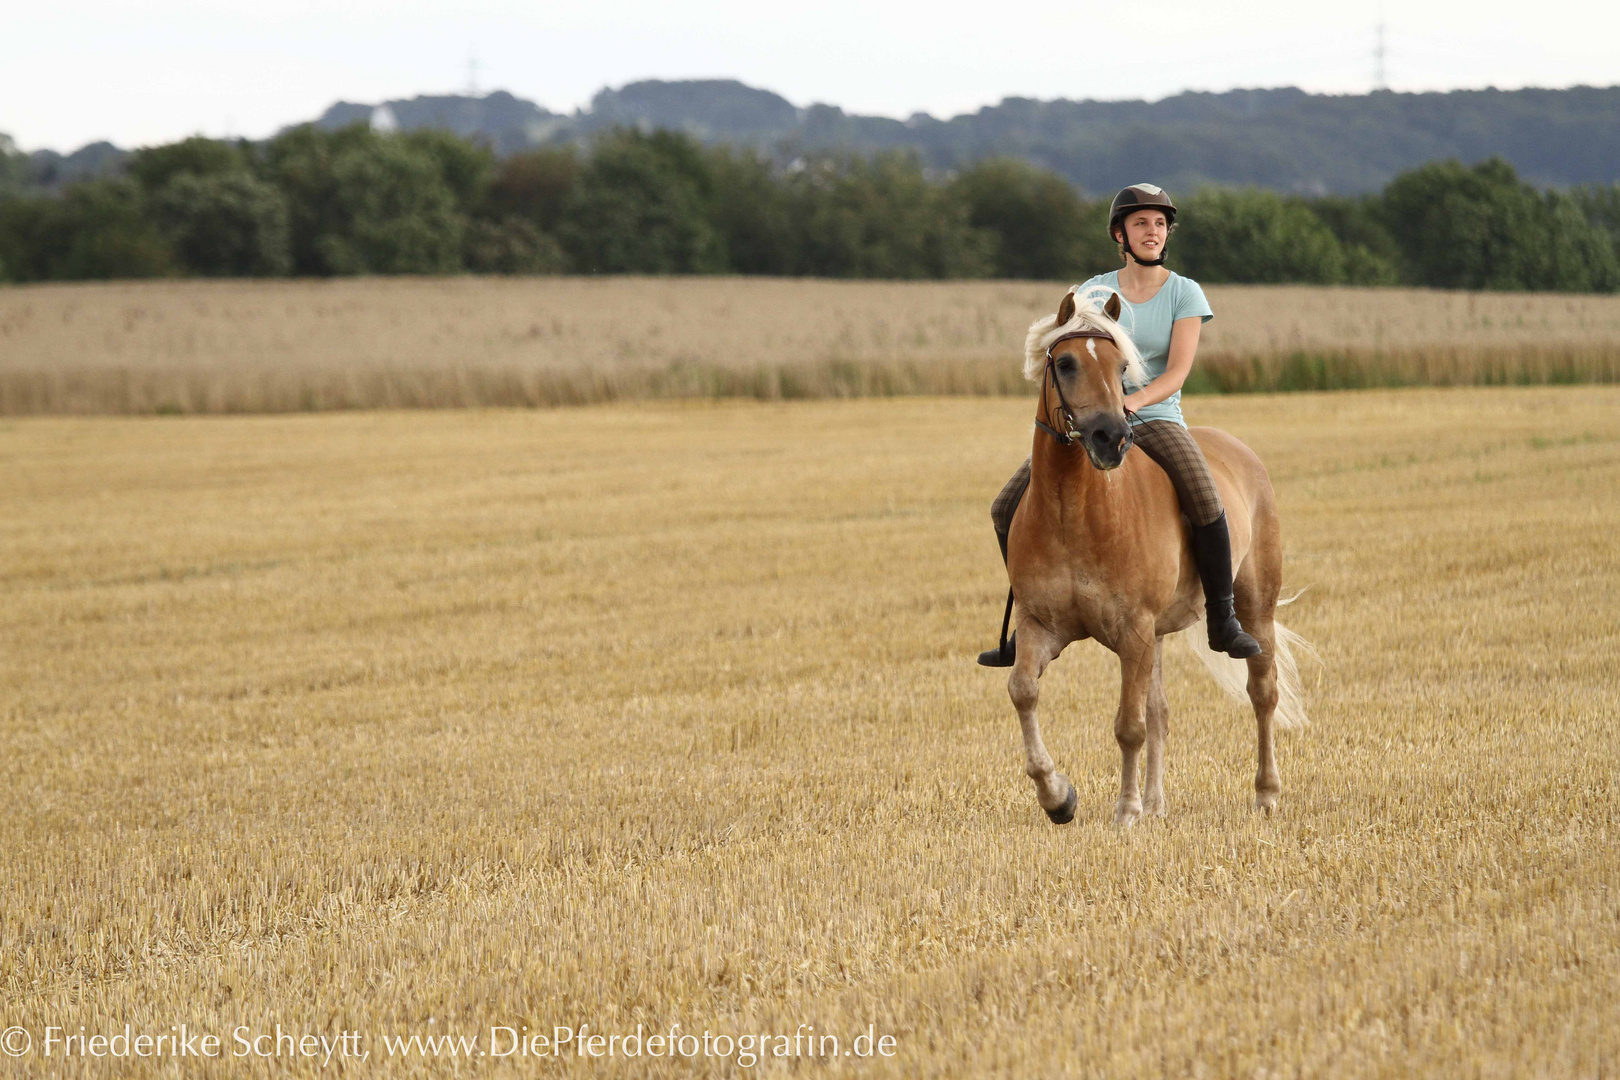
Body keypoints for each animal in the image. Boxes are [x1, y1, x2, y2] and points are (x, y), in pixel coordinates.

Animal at [1004, 286, 1308, 829]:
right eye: (1065, 363)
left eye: (1123, 366)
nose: (1111, 438)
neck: (1072, 510)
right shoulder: (1042, 626)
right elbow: (1023, 690)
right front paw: (1057, 797)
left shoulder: (1133, 631)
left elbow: (1128, 725)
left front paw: (1125, 812)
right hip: (1158, 636)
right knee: (1161, 712)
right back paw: (1157, 803)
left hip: (1255, 608)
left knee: (1263, 693)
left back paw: (1266, 794)